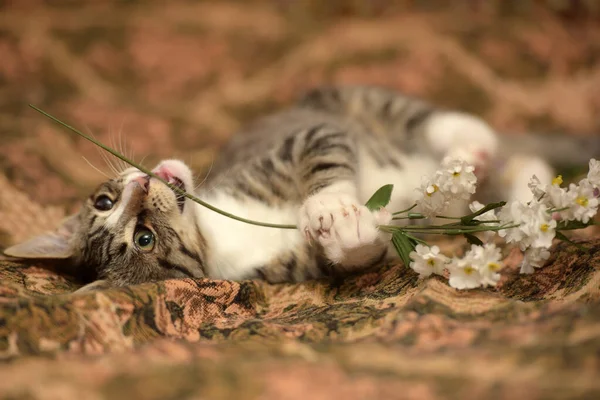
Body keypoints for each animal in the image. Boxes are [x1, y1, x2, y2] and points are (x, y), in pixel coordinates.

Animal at [3, 86, 596, 290]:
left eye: (105, 201)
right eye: (142, 240)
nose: (142, 181)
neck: (219, 233)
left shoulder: (295, 142)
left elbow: (324, 152)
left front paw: (329, 203)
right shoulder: (283, 270)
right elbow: (356, 259)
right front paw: (350, 231)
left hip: (340, 99)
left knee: (415, 117)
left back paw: (469, 144)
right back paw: (521, 200)